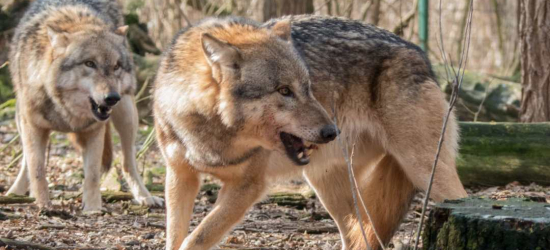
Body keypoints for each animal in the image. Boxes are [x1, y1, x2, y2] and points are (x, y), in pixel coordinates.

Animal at [7, 0, 162, 212]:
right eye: (90, 63)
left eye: (116, 66)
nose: (112, 98)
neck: (65, 110)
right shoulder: (34, 127)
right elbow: (37, 170)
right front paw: (43, 204)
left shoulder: (94, 131)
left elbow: (93, 175)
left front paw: (93, 209)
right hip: (20, 119)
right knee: (25, 162)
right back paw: (15, 193)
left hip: (127, 115)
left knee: (128, 162)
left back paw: (145, 196)